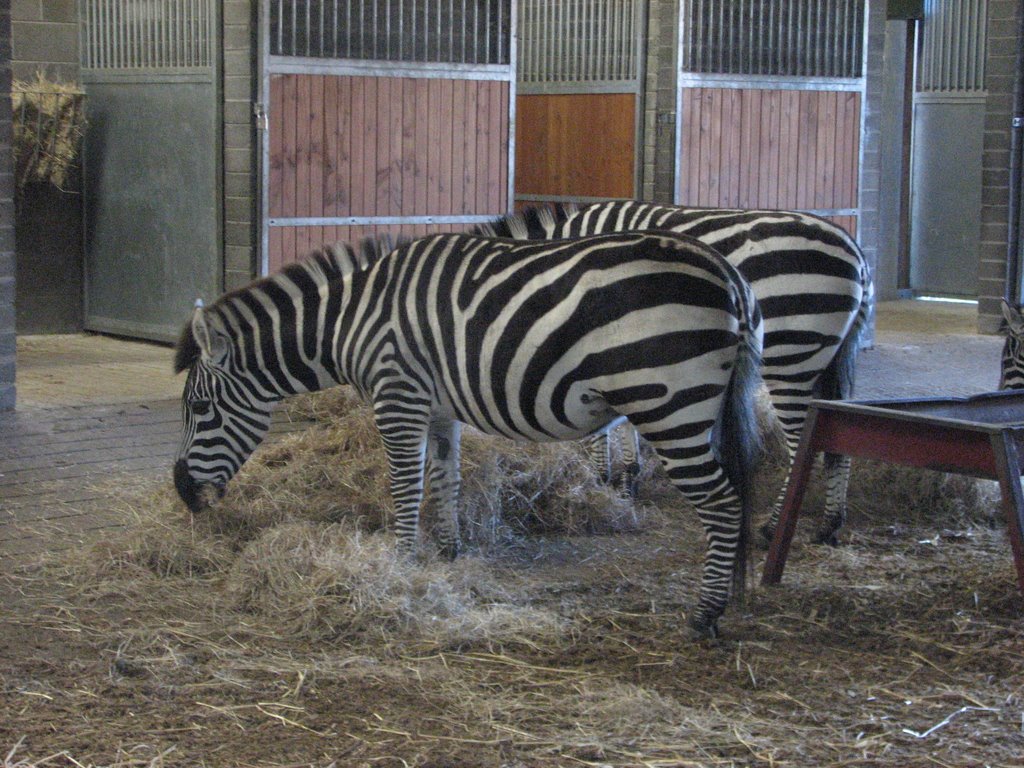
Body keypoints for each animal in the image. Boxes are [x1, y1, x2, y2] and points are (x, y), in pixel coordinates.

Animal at [176, 231, 765, 638]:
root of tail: (726, 272)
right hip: (701, 406)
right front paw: (449, 553)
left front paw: (401, 564)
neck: (349, 321)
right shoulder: (437, 408)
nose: (184, 493)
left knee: (722, 504)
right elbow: (446, 479)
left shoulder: (398, 395)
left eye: (201, 408)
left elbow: (406, 487)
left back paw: (705, 614)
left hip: (670, 404)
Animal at [477, 199, 872, 548]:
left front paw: (604, 480)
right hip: (831, 356)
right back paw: (829, 525)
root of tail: (854, 248)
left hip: (792, 356)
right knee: (834, 436)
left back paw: (772, 529)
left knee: (802, 444)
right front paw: (627, 479)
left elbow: (603, 428)